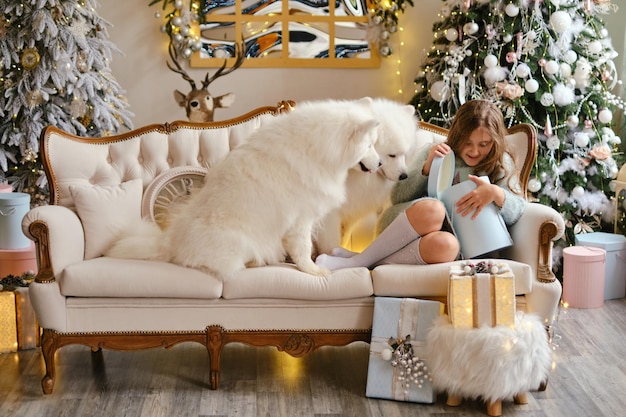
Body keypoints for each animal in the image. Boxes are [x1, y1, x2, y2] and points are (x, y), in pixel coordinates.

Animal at [106, 97, 380, 278]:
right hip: (236, 241)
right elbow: (304, 249)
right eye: (369, 146)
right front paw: (314, 271)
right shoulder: (301, 219)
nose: (379, 164)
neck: (316, 148)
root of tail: (169, 244)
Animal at [314, 98, 416, 254]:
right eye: (392, 155)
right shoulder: (330, 216)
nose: (404, 176)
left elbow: (343, 238)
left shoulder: (353, 212)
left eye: (404, 154)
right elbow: (330, 243)